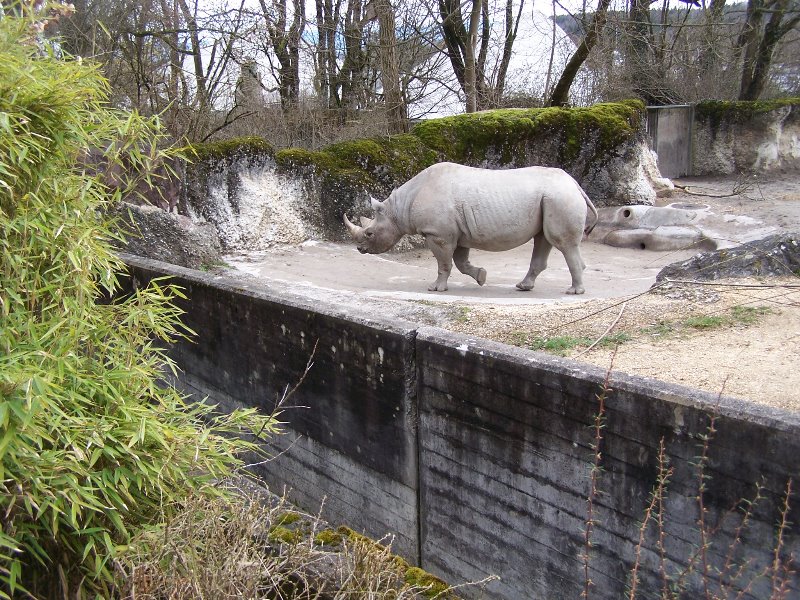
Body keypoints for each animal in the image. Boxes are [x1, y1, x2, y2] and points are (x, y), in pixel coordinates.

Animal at [344, 162, 598, 294]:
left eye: (369, 233)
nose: (359, 249)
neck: (399, 208)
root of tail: (575, 184)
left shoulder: (438, 233)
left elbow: (444, 263)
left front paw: (436, 288)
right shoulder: (457, 233)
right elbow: (460, 262)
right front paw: (481, 277)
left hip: (559, 197)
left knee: (561, 243)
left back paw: (574, 292)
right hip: (551, 198)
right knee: (543, 239)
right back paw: (523, 286)